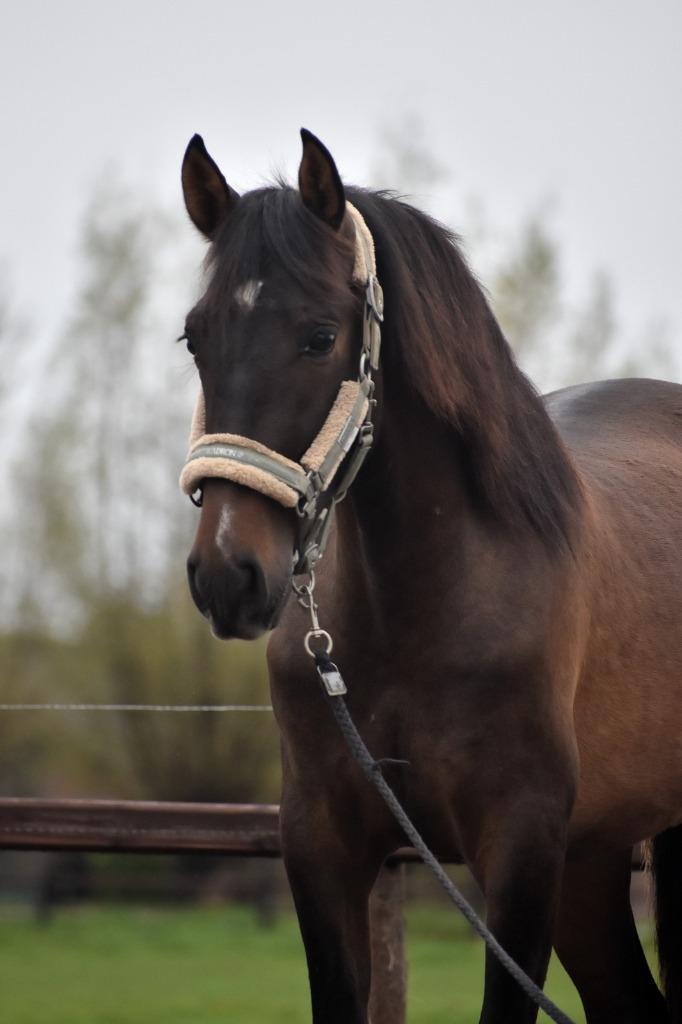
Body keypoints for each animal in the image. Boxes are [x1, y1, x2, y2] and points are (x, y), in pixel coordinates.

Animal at [177, 128, 682, 1023]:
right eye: (195, 338)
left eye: (320, 336)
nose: (228, 574)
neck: (417, 612)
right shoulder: (322, 843)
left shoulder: (521, 852)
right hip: (594, 856)